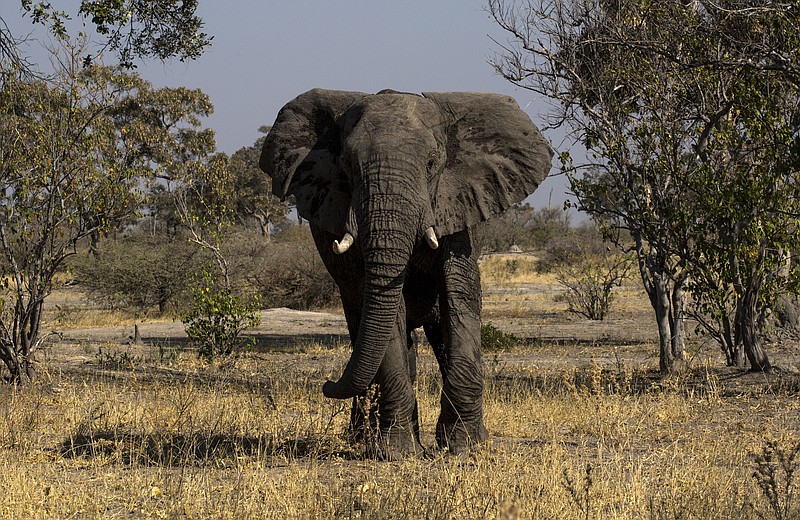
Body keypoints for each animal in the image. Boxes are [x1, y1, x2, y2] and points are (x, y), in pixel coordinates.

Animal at [260, 89, 552, 460]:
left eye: (431, 164)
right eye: (348, 166)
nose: (327, 384)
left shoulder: (457, 203)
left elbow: (460, 297)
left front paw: (464, 447)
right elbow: (387, 314)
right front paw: (398, 453)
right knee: (366, 331)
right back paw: (364, 439)